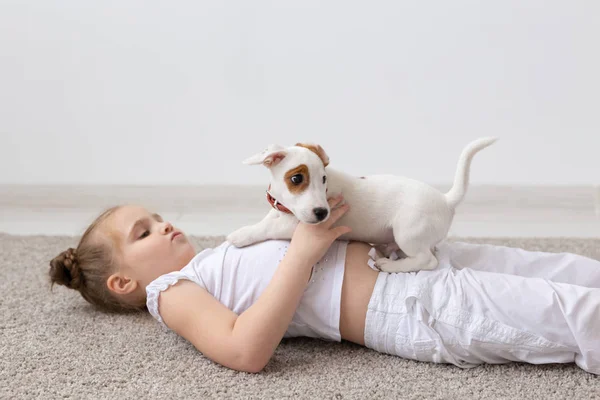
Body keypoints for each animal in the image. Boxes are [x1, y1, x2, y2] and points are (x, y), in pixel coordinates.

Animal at [226, 137, 496, 272]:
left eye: (323, 179)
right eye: (296, 179)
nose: (322, 213)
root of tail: (445, 199)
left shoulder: (299, 225)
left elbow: (268, 227)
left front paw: (240, 234)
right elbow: (268, 219)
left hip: (408, 231)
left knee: (426, 260)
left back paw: (390, 265)